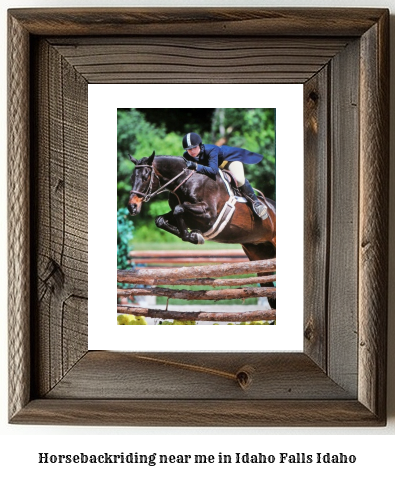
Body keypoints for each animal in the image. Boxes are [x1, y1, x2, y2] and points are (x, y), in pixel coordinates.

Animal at [128, 152, 276, 310]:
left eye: (146, 177)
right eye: (132, 178)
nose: (132, 207)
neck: (185, 181)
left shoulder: (209, 214)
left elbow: (178, 209)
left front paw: (194, 236)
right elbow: (161, 219)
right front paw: (193, 235)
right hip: (258, 254)